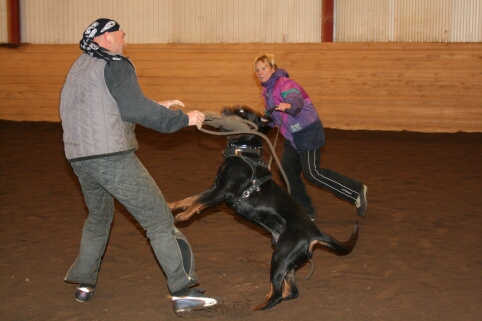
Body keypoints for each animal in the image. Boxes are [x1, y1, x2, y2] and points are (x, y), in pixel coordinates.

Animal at [169, 105, 358, 310]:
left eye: (241, 112)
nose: (225, 109)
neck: (243, 154)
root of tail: (315, 232)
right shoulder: (214, 187)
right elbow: (191, 198)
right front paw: (172, 205)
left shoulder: (223, 190)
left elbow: (200, 202)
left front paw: (184, 216)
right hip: (288, 262)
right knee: (290, 291)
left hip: (280, 256)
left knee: (277, 295)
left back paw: (257, 308)